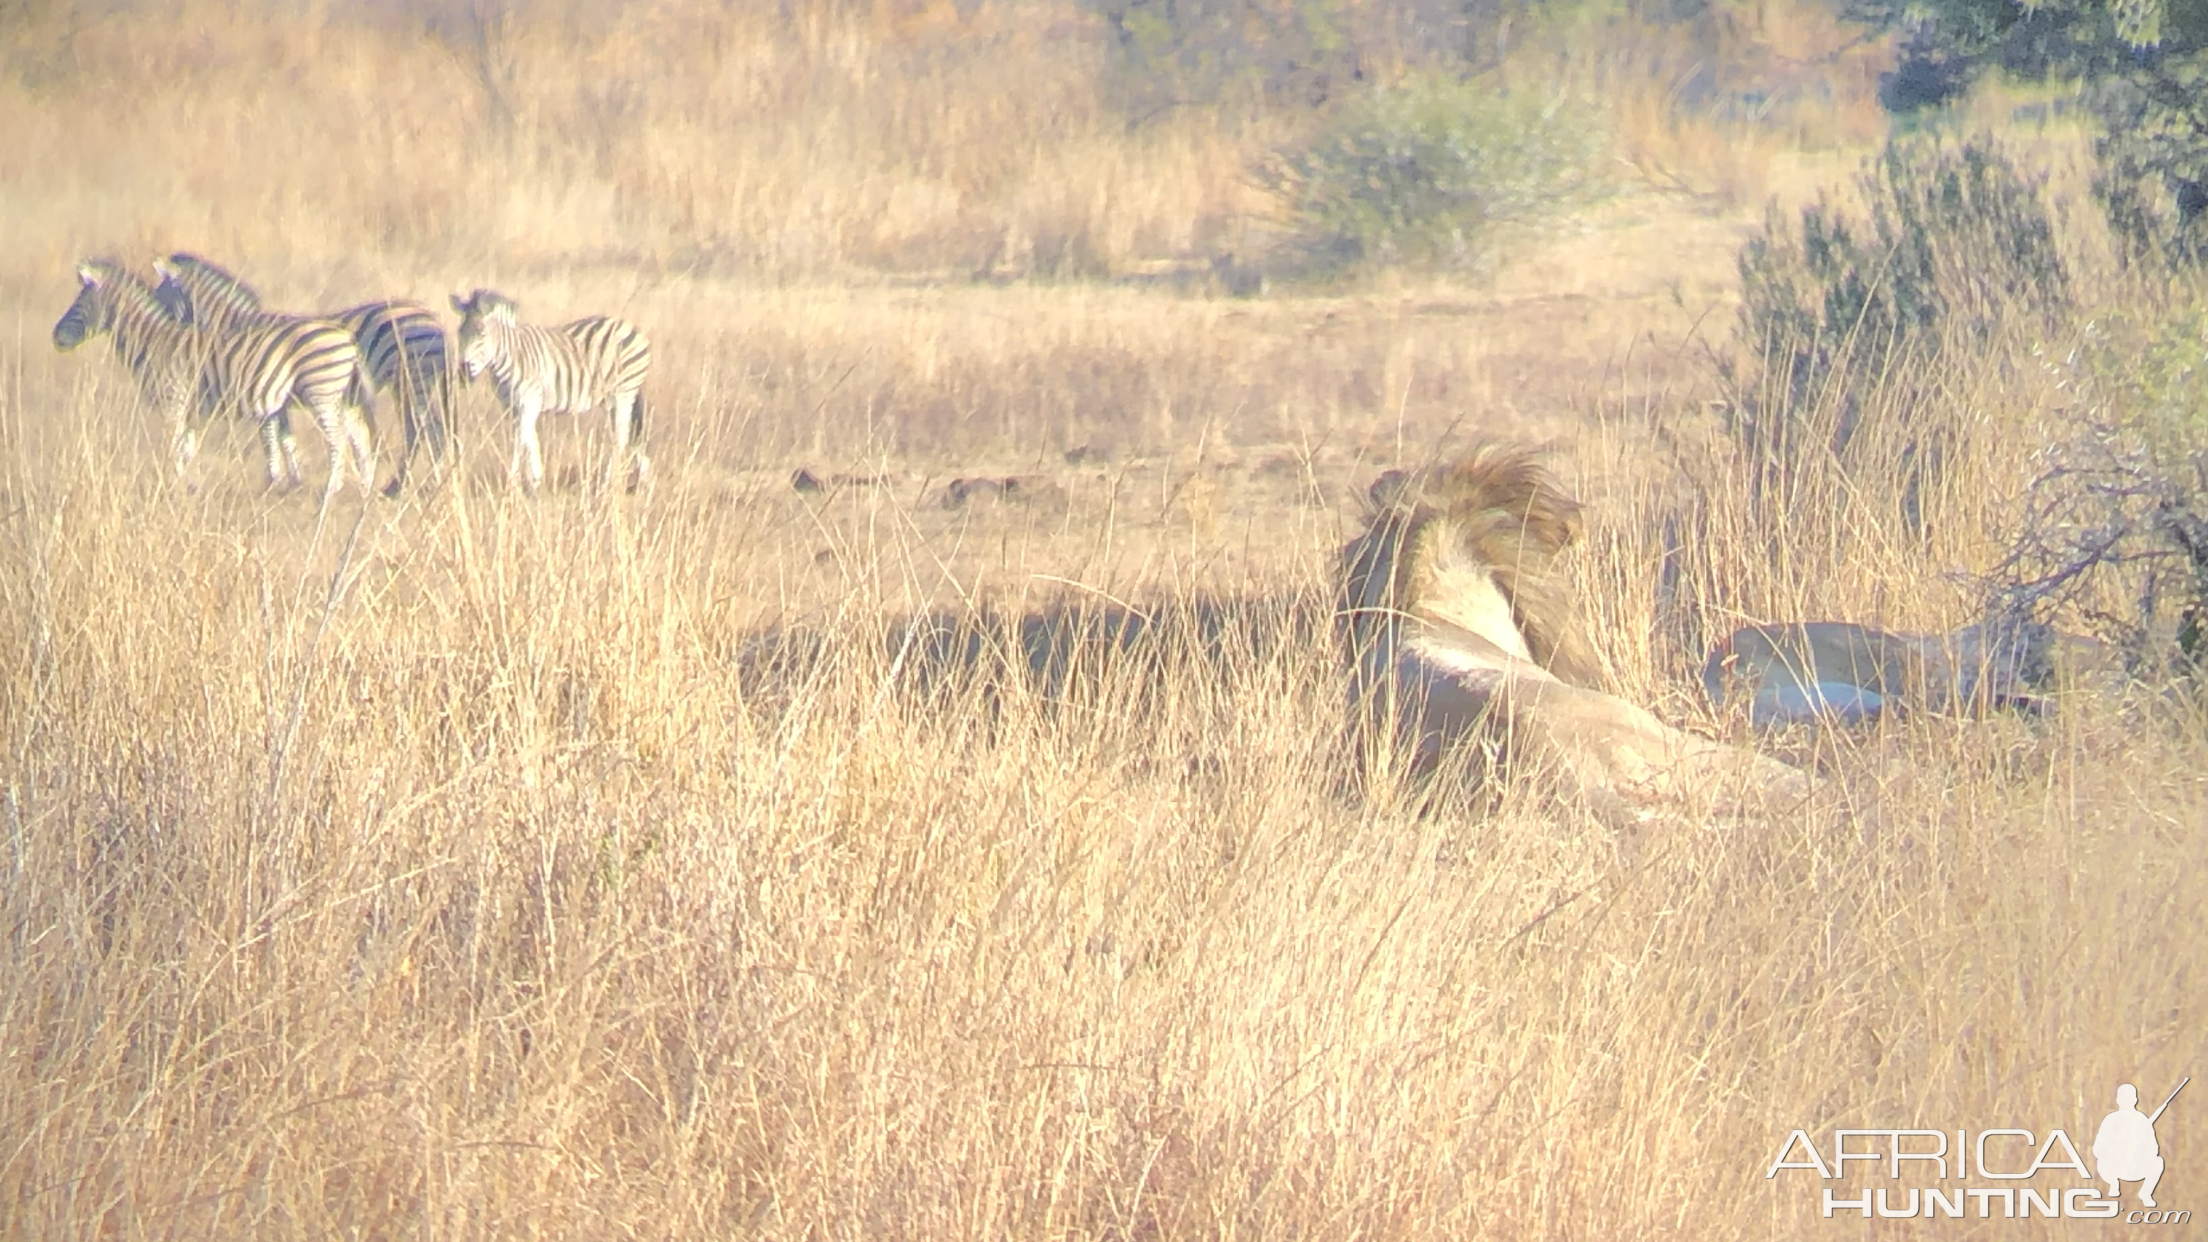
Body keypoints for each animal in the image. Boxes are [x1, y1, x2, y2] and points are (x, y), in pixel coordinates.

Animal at [51, 258, 375, 495]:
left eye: (78, 304)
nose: (55, 338)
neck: (153, 341)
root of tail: (346, 336)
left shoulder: (173, 400)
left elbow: (174, 447)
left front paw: (174, 487)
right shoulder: (190, 408)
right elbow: (188, 449)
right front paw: (190, 486)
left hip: (320, 391)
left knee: (338, 439)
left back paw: (332, 489)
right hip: (339, 394)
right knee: (358, 433)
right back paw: (364, 486)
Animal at [158, 251, 452, 492]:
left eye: (158, 293)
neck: (239, 325)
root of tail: (433, 318)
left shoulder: (264, 393)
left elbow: (269, 439)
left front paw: (274, 483)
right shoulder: (277, 401)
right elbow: (286, 438)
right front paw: (292, 483)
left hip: (412, 379)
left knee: (427, 429)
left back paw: (422, 484)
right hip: (409, 382)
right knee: (422, 429)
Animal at [448, 287, 649, 490]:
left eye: (482, 335)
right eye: (460, 333)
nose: (463, 374)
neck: (509, 355)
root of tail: (629, 326)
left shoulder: (529, 401)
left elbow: (521, 440)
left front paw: (514, 482)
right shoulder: (513, 406)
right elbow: (529, 439)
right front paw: (534, 480)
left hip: (623, 392)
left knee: (621, 436)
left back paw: (608, 482)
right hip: (610, 400)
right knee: (626, 433)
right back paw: (639, 476)